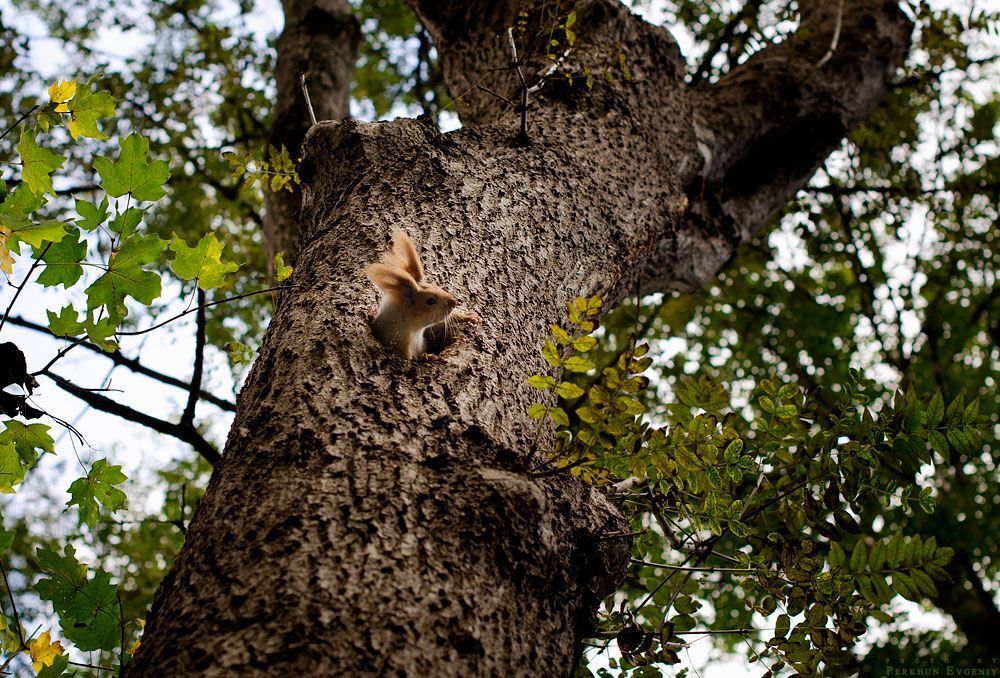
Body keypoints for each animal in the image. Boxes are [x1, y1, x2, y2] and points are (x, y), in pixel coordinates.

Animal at [365, 230, 478, 360]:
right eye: (430, 301)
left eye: (435, 285)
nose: (454, 302)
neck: (415, 332)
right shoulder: (401, 345)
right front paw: (428, 357)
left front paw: (468, 316)